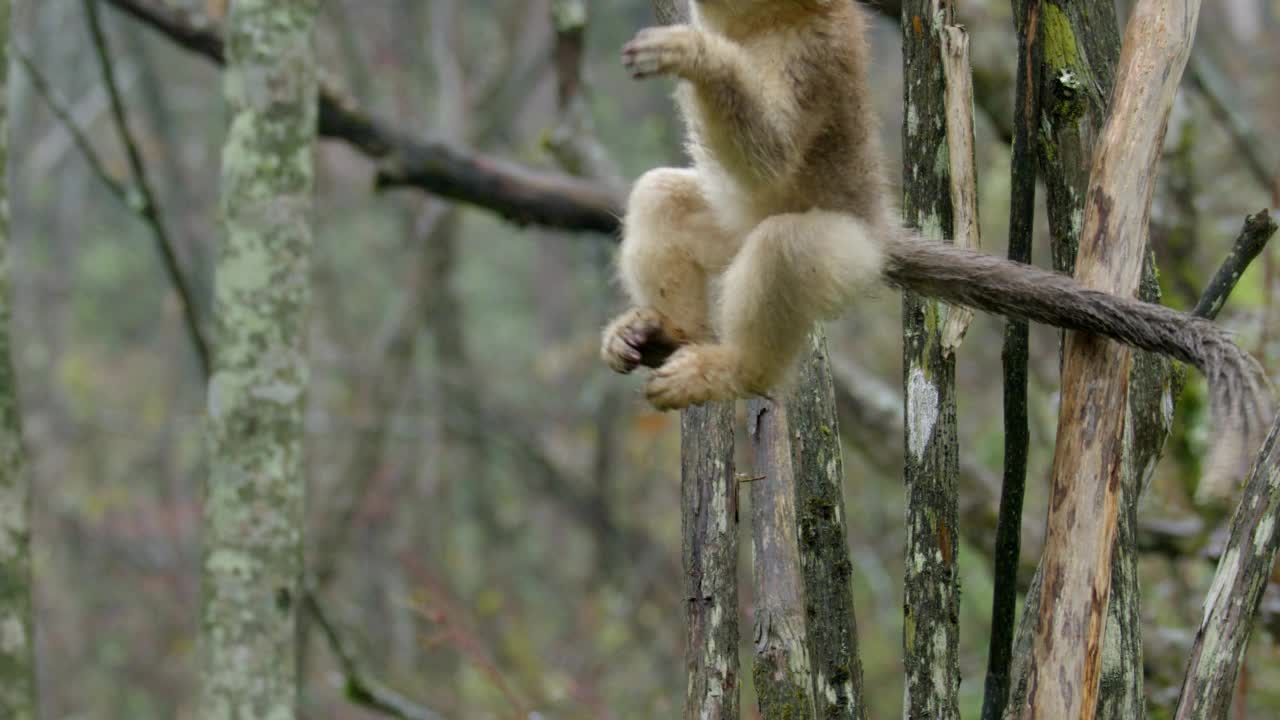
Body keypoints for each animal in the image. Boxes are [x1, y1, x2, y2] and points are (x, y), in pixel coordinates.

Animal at [604, 2, 1274, 479]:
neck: (765, 25)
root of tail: (879, 230)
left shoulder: (813, 56)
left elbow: (769, 151)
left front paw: (695, 54)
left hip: (844, 254)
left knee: (784, 248)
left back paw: (735, 368)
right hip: (731, 223)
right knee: (662, 196)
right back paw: (662, 333)